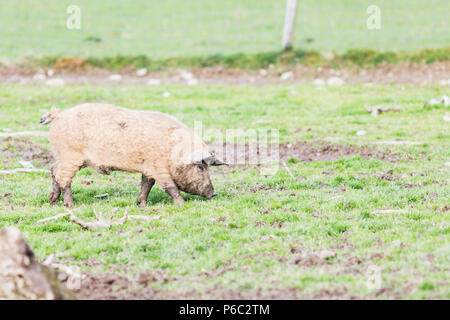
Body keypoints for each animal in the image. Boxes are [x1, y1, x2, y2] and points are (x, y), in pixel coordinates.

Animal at [40, 103, 225, 208]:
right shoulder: (158, 166)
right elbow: (169, 186)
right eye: (200, 166)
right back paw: (71, 206)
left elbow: (147, 184)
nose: (213, 194)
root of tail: (59, 115)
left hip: (63, 157)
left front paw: (141, 205)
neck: (174, 150)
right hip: (70, 155)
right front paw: (182, 205)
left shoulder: (148, 166)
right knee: (63, 179)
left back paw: (52, 202)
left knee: (53, 170)